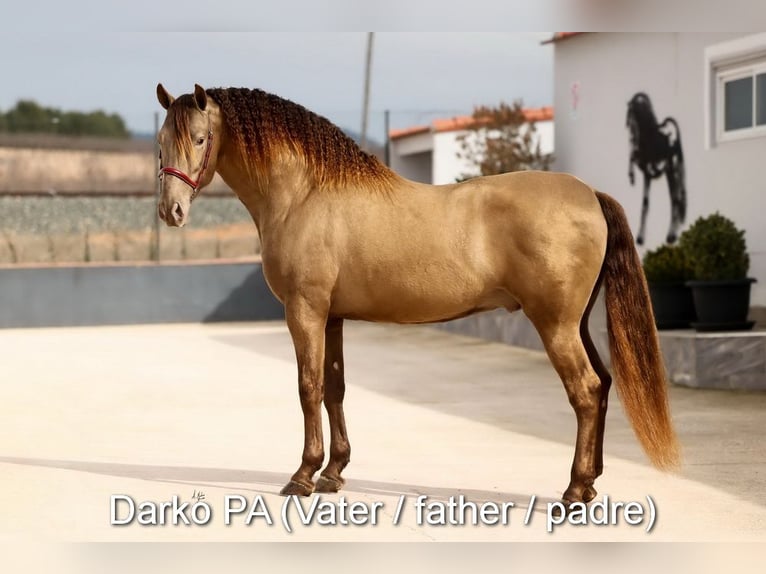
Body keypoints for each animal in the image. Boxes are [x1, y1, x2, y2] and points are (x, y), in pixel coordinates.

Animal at [155, 84, 679, 506]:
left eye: (199, 139)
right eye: (161, 144)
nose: (171, 211)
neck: (304, 194)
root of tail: (590, 194)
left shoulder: (305, 312)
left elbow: (308, 388)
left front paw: (303, 476)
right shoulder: (331, 317)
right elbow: (334, 389)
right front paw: (333, 474)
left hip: (556, 325)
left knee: (586, 391)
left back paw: (573, 489)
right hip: (577, 322)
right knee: (603, 385)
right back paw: (589, 484)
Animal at [626, 92, 687, 245]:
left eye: (635, 115)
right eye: (629, 120)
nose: (634, 143)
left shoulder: (648, 171)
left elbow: (646, 203)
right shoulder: (646, 172)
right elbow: (645, 203)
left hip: (672, 169)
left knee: (675, 198)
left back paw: (671, 235)